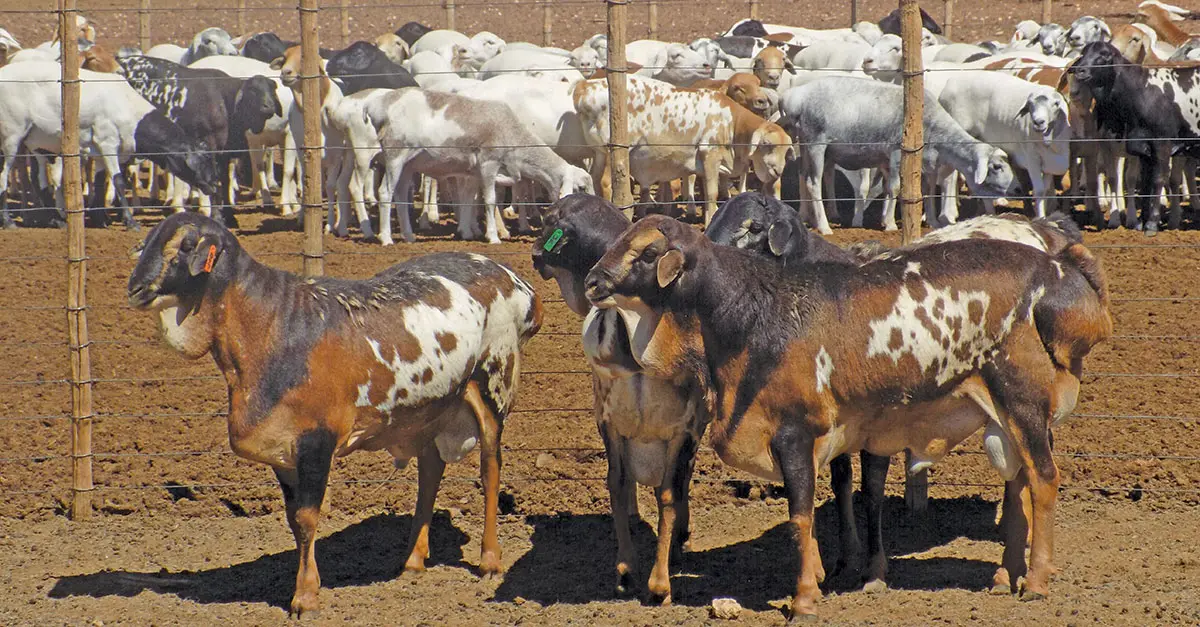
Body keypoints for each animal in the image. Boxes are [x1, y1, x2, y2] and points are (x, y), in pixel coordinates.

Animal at [0, 61, 220, 229]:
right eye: (202, 161)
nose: (213, 186)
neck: (128, 108)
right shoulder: (108, 144)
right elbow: (118, 180)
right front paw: (130, 222)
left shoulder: (99, 153)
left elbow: (99, 182)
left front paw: (101, 219)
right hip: (12, 137)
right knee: (4, 175)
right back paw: (8, 221)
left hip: (36, 141)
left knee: (38, 180)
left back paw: (55, 220)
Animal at [127, 212, 542, 617]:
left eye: (185, 245)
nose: (135, 289)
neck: (271, 328)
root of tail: (517, 283)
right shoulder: (281, 450)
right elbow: (294, 519)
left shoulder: (316, 442)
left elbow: (308, 517)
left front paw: (306, 597)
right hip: (428, 407)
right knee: (430, 472)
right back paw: (412, 561)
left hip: (492, 386)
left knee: (490, 469)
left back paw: (490, 560)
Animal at [371, 88, 594, 244]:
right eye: (581, 188)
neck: (512, 134)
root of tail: (381, 105)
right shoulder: (488, 164)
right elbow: (490, 200)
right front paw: (493, 236)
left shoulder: (472, 172)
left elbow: (469, 199)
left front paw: (466, 232)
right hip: (395, 155)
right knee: (385, 192)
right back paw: (386, 238)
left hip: (408, 165)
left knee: (399, 195)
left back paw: (408, 236)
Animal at [778, 76, 1015, 233]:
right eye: (996, 167)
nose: (1016, 190)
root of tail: (794, 96)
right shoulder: (895, 154)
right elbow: (894, 188)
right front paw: (891, 224)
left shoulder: (924, 163)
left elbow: (927, 191)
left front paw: (931, 222)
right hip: (816, 143)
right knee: (813, 183)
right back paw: (824, 226)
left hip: (805, 145)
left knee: (803, 177)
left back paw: (806, 216)